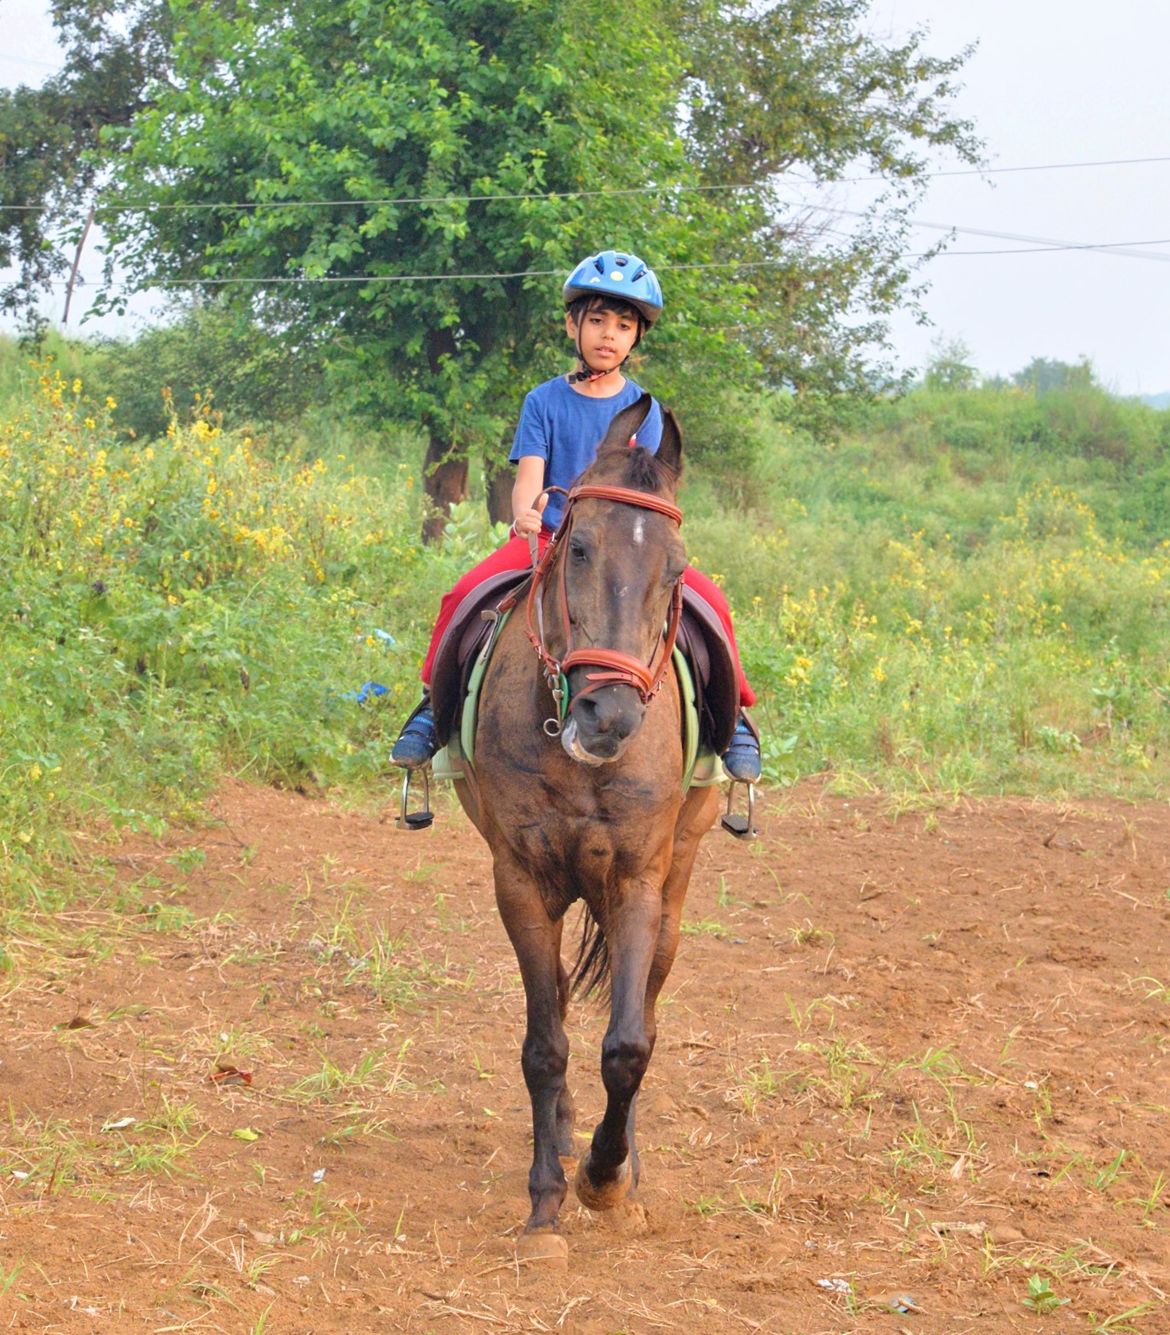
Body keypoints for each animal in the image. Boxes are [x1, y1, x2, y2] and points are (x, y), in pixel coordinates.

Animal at [451, 397, 715, 1260]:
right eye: (578, 546)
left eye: (676, 568)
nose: (609, 717)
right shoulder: (520, 881)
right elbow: (546, 1044)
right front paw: (545, 1203)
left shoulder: (636, 880)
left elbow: (629, 1043)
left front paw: (607, 1180)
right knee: (563, 1001)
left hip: (677, 877)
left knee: (648, 1005)